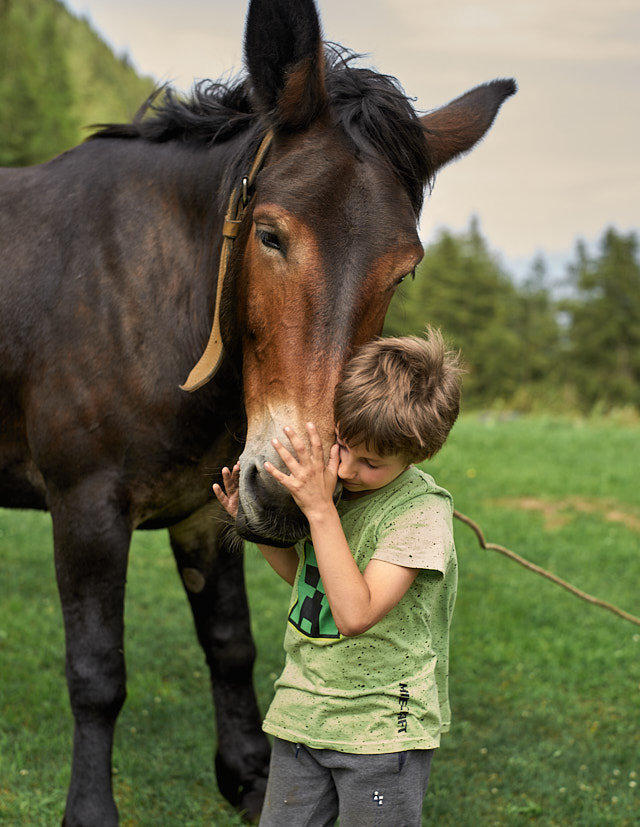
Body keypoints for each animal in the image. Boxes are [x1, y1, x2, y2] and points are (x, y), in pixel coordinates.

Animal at [0, 0, 516, 824]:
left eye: (403, 269)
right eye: (270, 235)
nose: (291, 495)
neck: (139, 292)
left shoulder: (205, 511)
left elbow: (230, 644)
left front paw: (246, 774)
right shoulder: (85, 506)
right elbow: (98, 673)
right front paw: (90, 810)